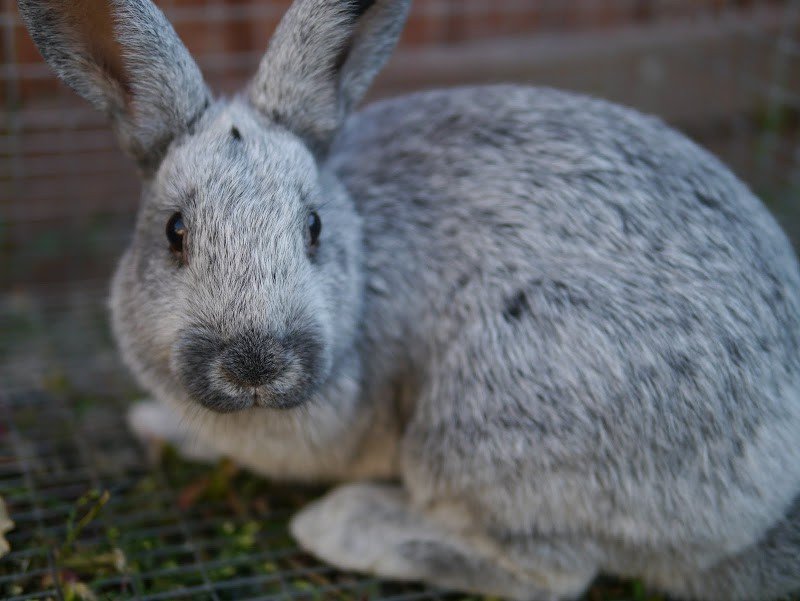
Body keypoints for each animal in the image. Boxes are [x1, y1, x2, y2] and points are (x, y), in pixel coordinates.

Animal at [17, 0, 800, 599]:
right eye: (175, 232)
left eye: (314, 228)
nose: (255, 366)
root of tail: (767, 491)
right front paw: (155, 424)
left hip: (487, 419)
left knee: (552, 572)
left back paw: (344, 526)